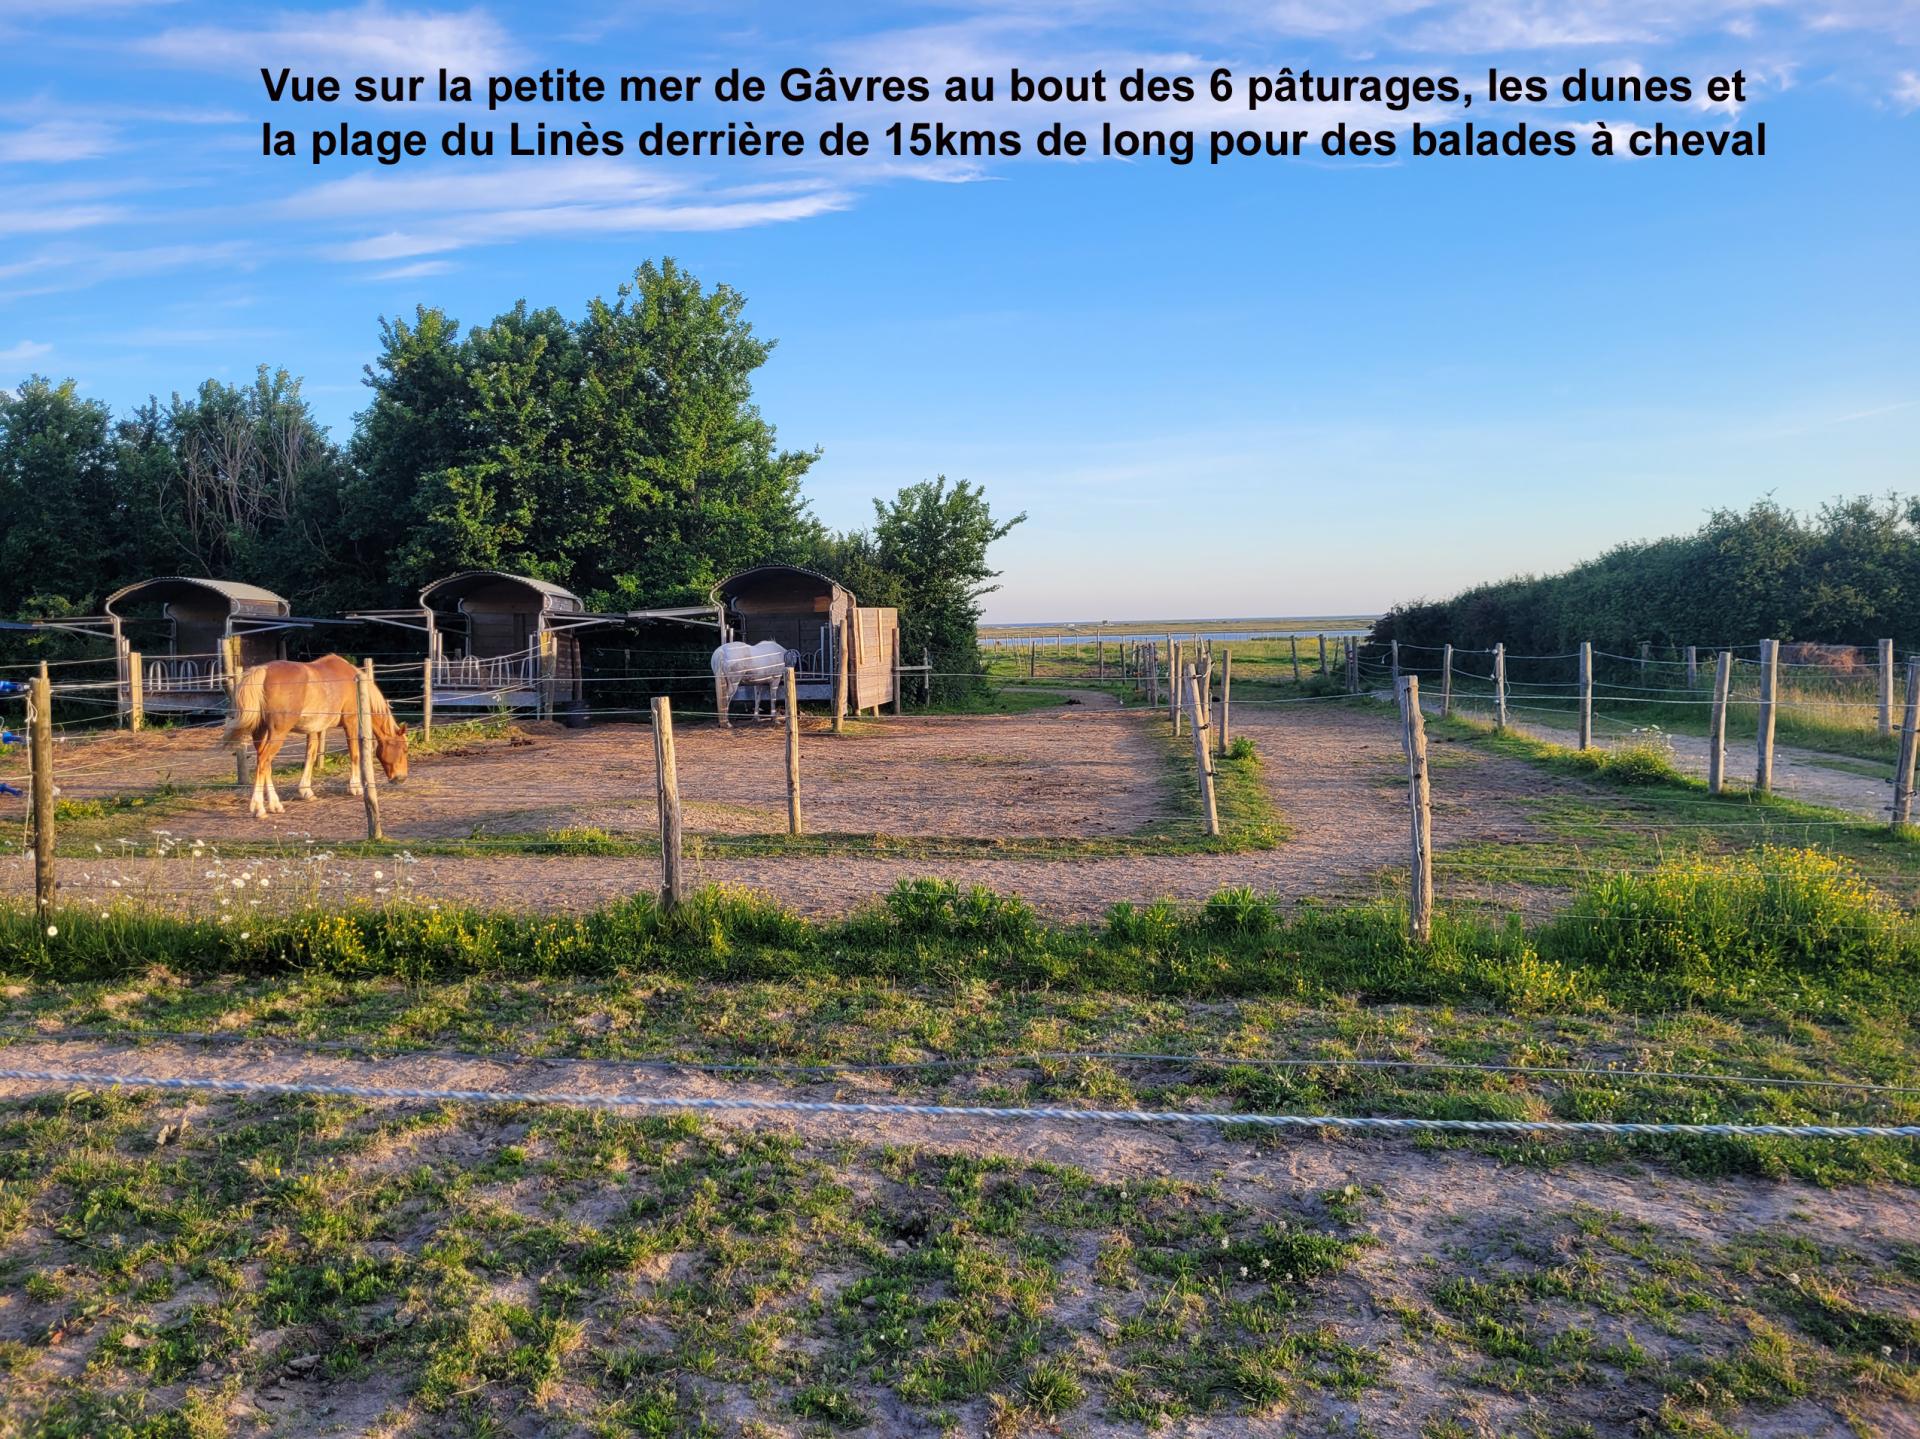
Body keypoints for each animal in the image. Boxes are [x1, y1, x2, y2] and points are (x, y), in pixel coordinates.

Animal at [223, 654, 409, 819]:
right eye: (404, 749)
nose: (401, 778)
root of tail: (264, 670)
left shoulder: (314, 730)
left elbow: (310, 757)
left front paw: (306, 790)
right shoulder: (351, 723)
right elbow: (354, 754)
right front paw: (355, 787)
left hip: (261, 733)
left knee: (264, 761)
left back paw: (275, 804)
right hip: (278, 733)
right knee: (263, 762)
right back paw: (258, 808)